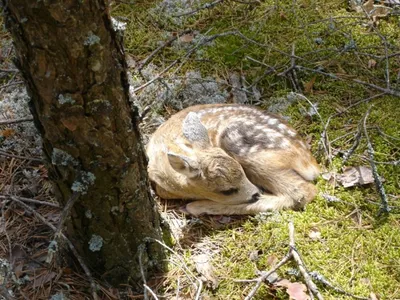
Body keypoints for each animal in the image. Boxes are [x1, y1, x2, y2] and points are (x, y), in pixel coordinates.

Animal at [145, 104, 320, 214]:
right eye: (227, 190)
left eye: (242, 171)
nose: (255, 194)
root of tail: (309, 160)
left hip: (238, 143)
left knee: (303, 192)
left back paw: (198, 207)